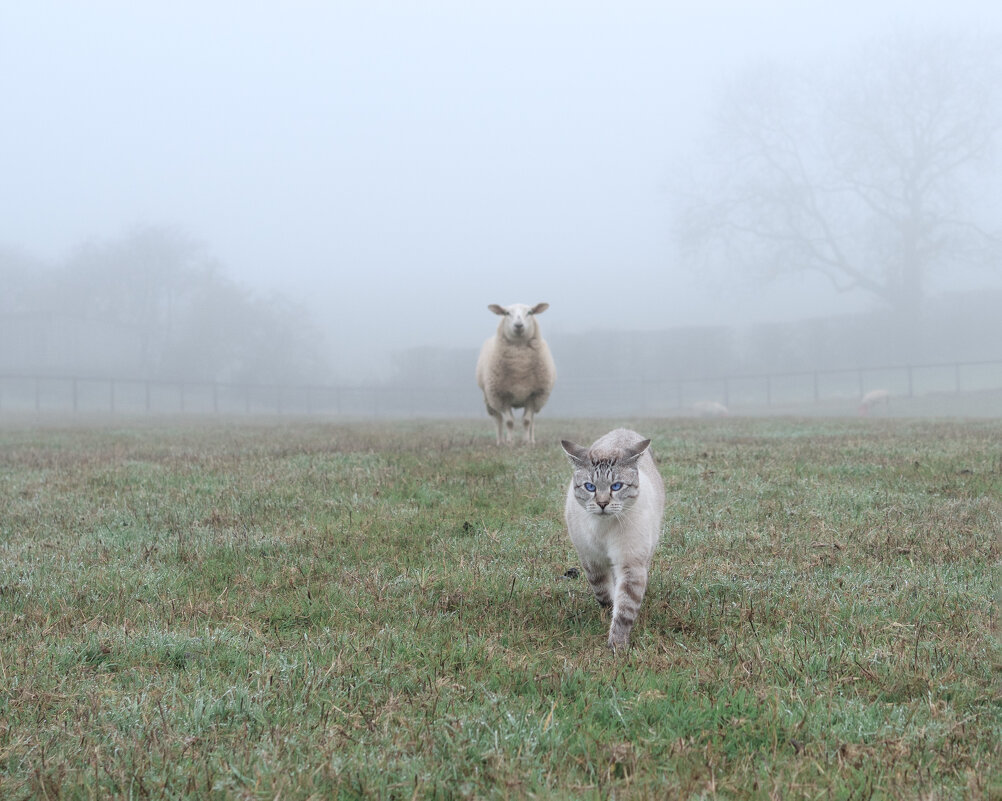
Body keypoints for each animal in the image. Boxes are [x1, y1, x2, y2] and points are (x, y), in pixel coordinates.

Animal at [474, 300, 557, 445]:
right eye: (507, 313)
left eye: (530, 312)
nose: (518, 325)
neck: (520, 366)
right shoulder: (502, 395)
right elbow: (509, 421)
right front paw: (510, 443)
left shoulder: (533, 394)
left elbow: (527, 421)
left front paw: (526, 442)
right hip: (490, 398)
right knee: (498, 419)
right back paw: (500, 441)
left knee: (532, 421)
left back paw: (532, 440)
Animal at [565, 429, 665, 649]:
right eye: (590, 487)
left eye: (616, 486)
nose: (602, 503)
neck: (603, 529)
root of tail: (623, 429)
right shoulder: (591, 560)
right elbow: (602, 592)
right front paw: (606, 614)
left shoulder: (631, 563)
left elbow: (625, 609)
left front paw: (617, 646)